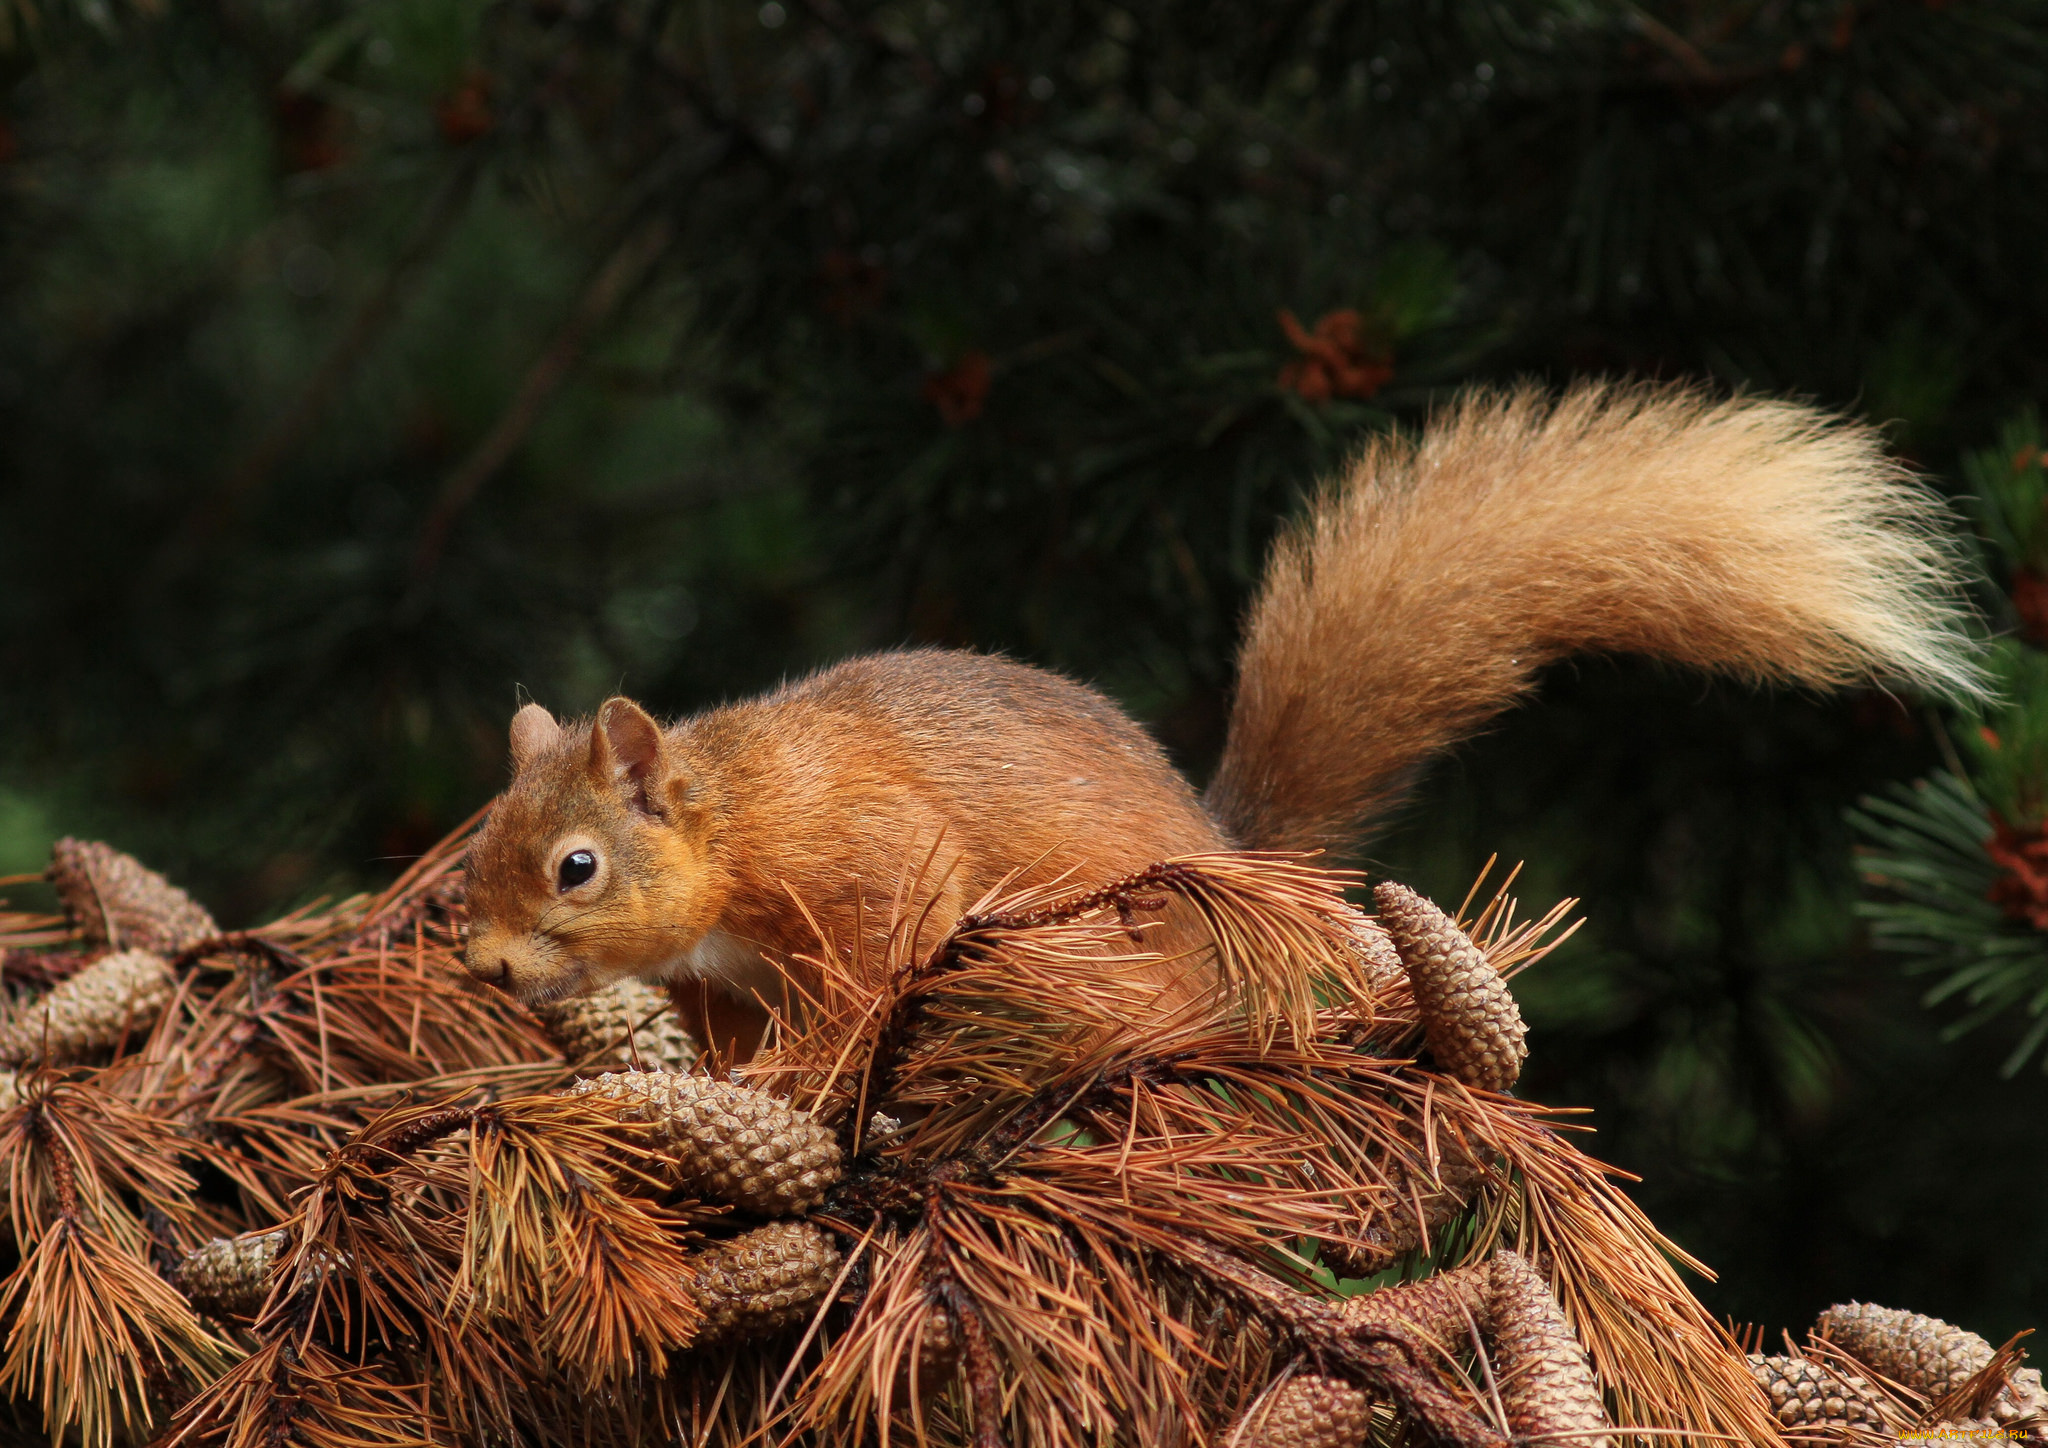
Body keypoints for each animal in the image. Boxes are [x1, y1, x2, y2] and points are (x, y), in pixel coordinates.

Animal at [464, 378, 1982, 1056]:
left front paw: (812, 1082)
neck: (739, 812)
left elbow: (871, 968)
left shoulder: (870, 865)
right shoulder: (714, 979)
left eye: (576, 866)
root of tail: (1234, 858)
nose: (478, 967)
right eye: (478, 851)